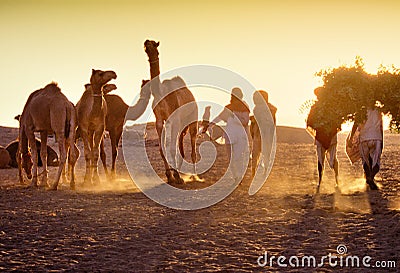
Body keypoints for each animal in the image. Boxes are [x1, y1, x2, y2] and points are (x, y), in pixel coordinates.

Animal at [145, 39, 199, 183]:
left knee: (192, 146)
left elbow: (171, 149)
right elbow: (162, 148)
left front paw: (177, 176)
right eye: (147, 44)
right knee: (180, 145)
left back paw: (194, 175)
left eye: (155, 45)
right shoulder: (159, 119)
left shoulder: (174, 119)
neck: (161, 93)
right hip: (181, 123)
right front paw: (170, 175)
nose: (146, 42)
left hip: (192, 118)